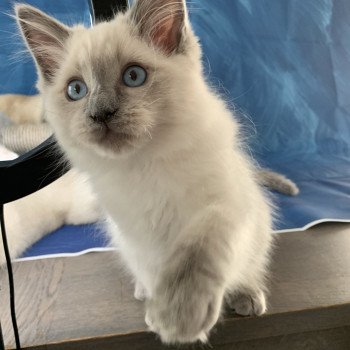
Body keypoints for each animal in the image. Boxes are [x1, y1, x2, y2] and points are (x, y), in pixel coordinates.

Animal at [15, 0, 274, 344]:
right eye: (76, 90)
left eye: (134, 76)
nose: (100, 114)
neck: (145, 164)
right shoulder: (137, 234)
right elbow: (156, 269)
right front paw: (160, 309)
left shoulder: (222, 204)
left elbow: (198, 251)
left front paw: (179, 316)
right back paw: (144, 292)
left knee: (249, 267)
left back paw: (246, 296)